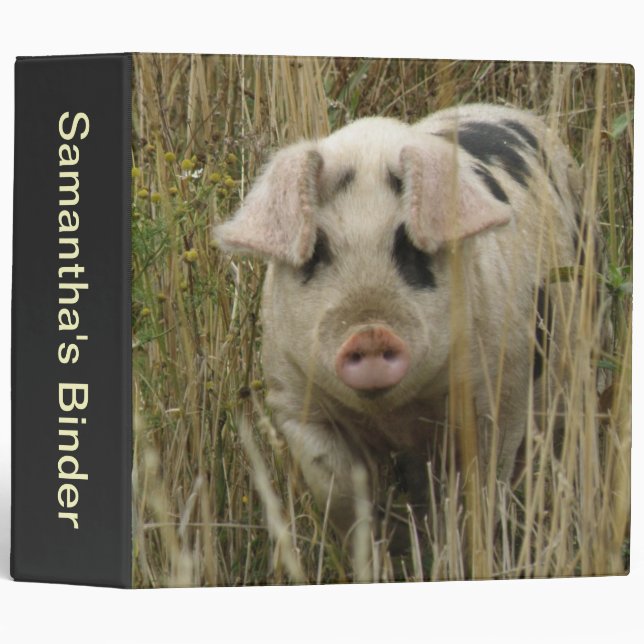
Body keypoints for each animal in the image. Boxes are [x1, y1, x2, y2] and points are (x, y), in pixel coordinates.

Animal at [215, 103, 581, 545]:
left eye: (409, 247)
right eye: (316, 251)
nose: (371, 333)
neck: (396, 415)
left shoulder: (499, 392)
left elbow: (481, 488)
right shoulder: (295, 398)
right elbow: (337, 487)